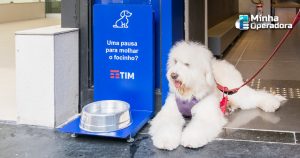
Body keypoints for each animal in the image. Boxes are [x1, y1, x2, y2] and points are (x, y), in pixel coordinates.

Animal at [150, 41, 286, 150]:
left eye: (187, 64)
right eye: (175, 61)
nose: (173, 75)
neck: (190, 93)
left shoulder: (206, 114)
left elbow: (199, 125)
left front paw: (191, 139)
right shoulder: (170, 112)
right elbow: (166, 124)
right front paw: (165, 140)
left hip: (237, 92)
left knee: (257, 96)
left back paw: (271, 103)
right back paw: (230, 107)